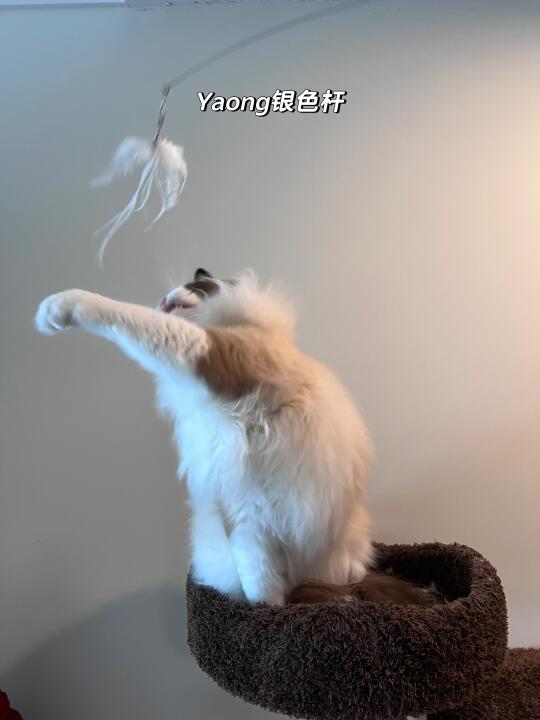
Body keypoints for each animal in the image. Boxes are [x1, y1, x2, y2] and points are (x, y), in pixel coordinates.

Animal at [35, 269, 373, 606]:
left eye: (193, 286)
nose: (165, 298)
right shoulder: (242, 517)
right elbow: (259, 587)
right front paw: (261, 614)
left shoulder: (210, 350)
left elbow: (126, 313)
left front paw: (54, 309)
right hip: (249, 528)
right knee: (265, 584)